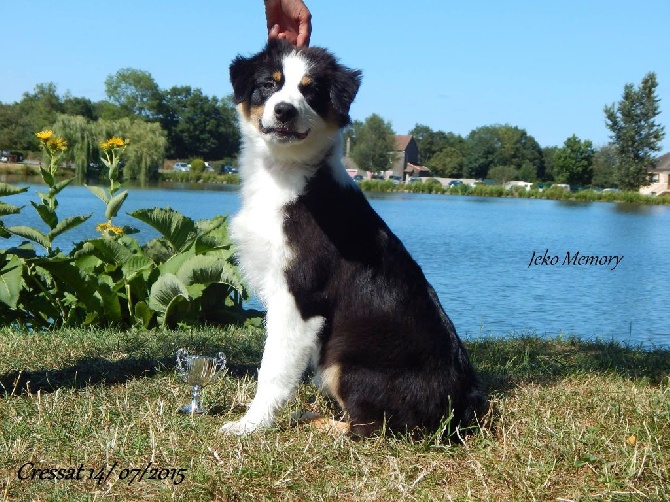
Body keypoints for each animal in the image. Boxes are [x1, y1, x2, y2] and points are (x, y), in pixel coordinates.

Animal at [223, 40, 486, 440]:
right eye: (270, 84)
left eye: (311, 91)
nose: (284, 111)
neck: (284, 174)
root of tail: (461, 404)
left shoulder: (300, 296)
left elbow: (273, 369)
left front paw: (250, 425)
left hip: (344, 362)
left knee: (372, 426)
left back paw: (316, 422)